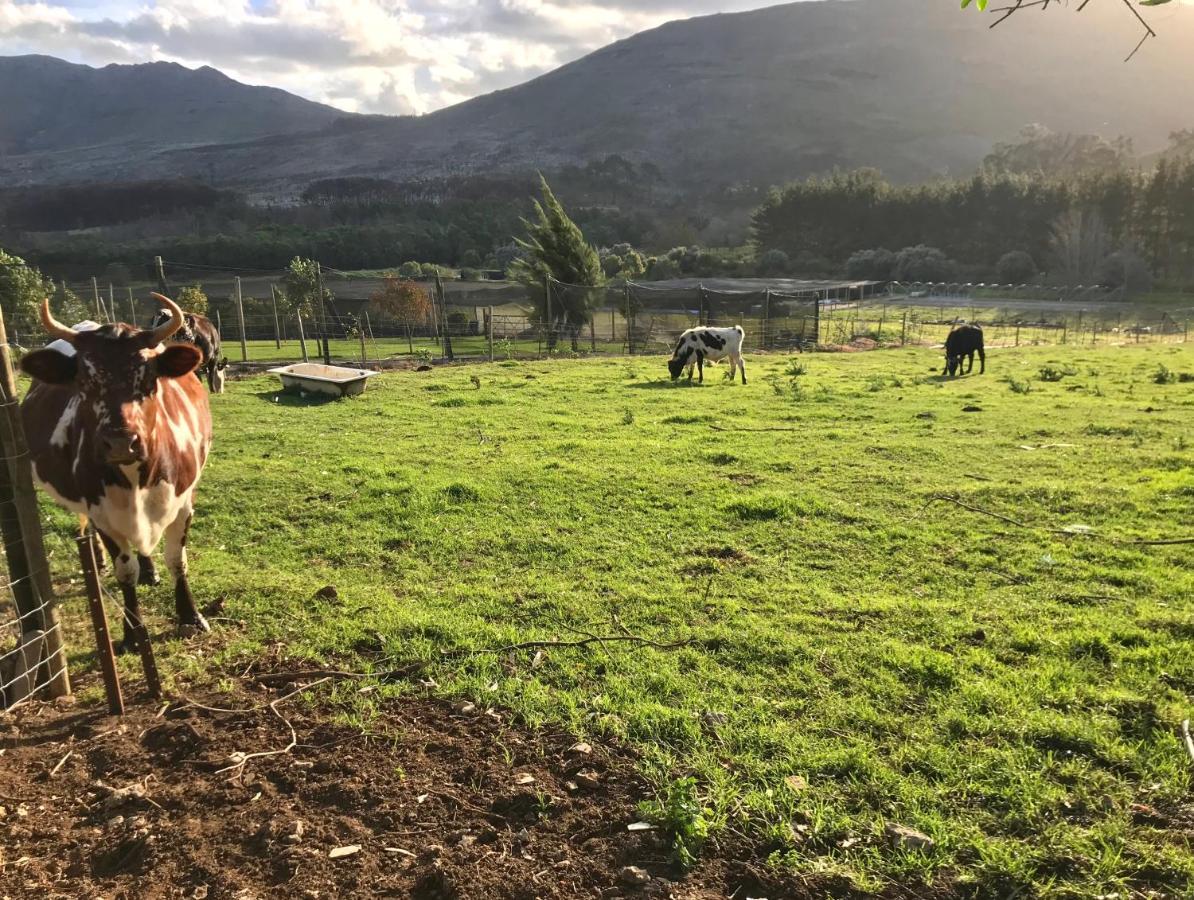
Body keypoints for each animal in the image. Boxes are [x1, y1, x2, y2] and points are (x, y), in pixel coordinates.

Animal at [20, 294, 214, 654]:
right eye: (83, 381)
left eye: (149, 378)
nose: (121, 441)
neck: (138, 478)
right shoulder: (102, 512)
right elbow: (125, 572)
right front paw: (132, 632)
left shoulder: (184, 502)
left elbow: (177, 560)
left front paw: (190, 617)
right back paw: (99, 560)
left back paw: (150, 570)